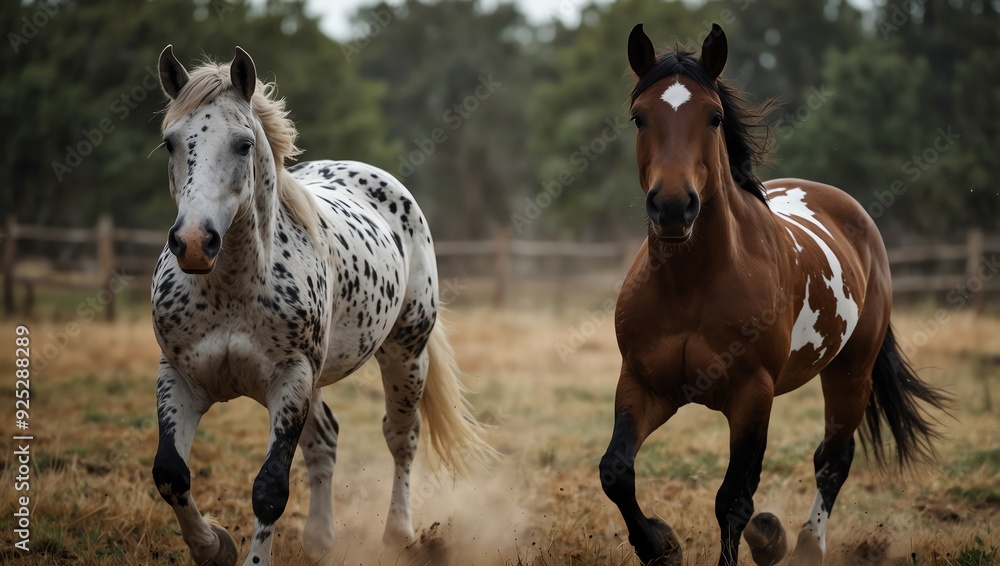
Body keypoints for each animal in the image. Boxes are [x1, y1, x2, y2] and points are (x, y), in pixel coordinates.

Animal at [150, 45, 495, 566]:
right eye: (171, 143)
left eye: (243, 145)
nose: (193, 243)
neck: (231, 290)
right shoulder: (180, 377)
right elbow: (171, 473)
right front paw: (214, 546)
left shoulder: (290, 380)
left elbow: (269, 489)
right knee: (326, 439)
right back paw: (319, 539)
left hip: (404, 356)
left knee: (402, 437)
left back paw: (399, 533)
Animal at [598, 24, 952, 566]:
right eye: (640, 117)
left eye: (715, 117)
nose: (674, 208)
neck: (691, 286)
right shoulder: (644, 384)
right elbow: (616, 471)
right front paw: (662, 544)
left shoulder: (751, 394)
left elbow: (733, 500)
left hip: (851, 373)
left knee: (833, 459)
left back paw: (805, 544)